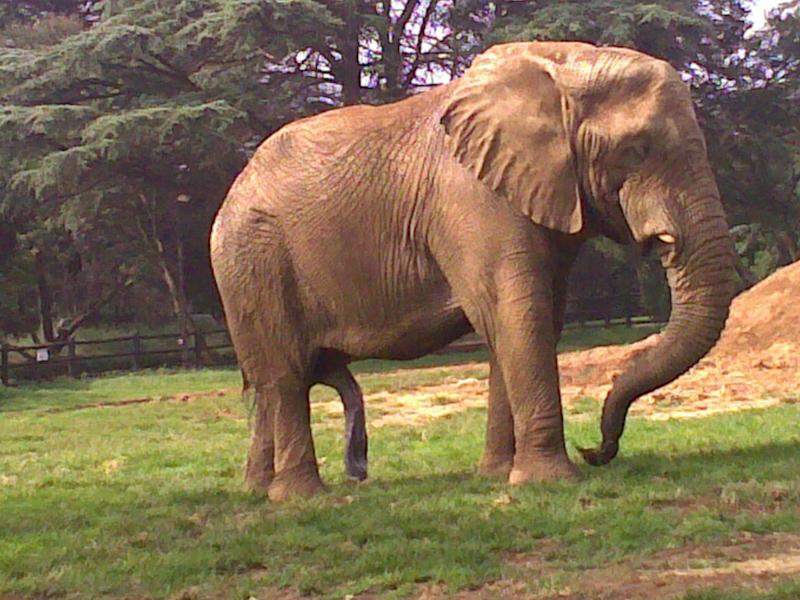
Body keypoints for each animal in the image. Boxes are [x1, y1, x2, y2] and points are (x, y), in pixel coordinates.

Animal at [210, 41, 734, 501]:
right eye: (636, 150)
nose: (595, 450)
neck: (565, 63)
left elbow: (523, 322)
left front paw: (499, 475)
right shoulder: (472, 198)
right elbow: (518, 316)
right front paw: (549, 481)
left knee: (271, 380)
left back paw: (259, 490)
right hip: (253, 259)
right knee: (285, 372)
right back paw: (301, 498)